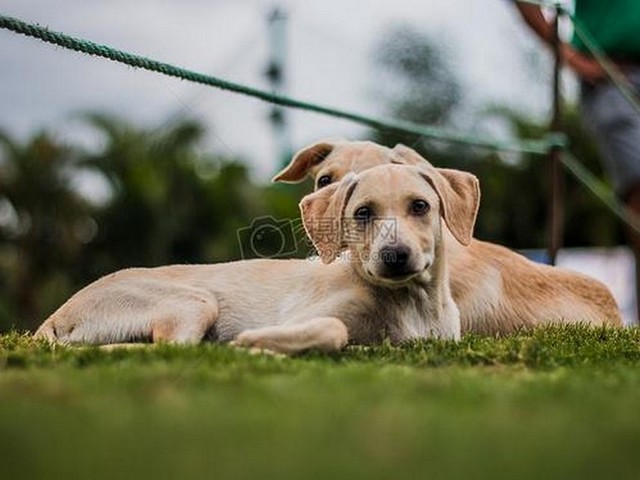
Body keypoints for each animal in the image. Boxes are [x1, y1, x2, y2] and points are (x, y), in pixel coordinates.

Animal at [32, 162, 478, 352]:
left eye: (420, 206)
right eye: (363, 213)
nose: (394, 256)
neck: (411, 304)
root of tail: (57, 314)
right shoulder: (301, 319)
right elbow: (334, 329)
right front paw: (253, 342)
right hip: (197, 301)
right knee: (166, 349)